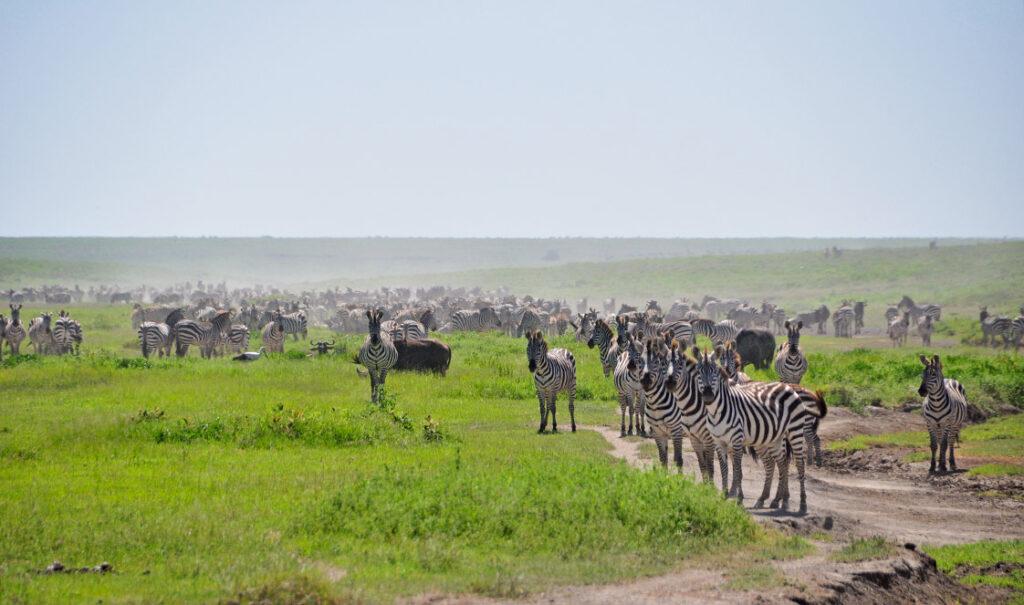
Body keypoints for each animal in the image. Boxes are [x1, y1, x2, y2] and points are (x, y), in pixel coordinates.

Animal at [692, 348, 827, 513]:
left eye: (714, 372)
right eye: (699, 372)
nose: (708, 396)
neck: (716, 411)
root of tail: (788, 386)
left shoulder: (737, 440)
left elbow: (738, 471)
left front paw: (739, 499)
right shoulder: (719, 442)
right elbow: (724, 469)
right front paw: (724, 495)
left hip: (795, 432)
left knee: (799, 465)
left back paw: (802, 503)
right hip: (775, 438)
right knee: (782, 463)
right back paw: (779, 501)